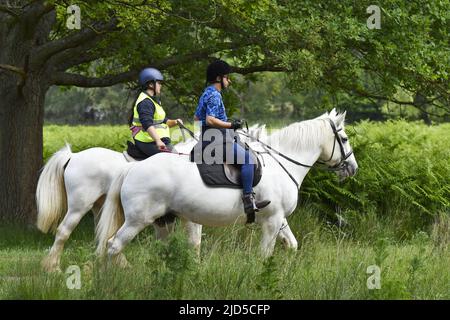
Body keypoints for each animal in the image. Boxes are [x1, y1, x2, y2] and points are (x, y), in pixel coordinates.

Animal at [35, 124, 272, 272]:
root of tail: (73, 156)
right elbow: (195, 241)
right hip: (79, 205)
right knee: (65, 231)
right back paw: (53, 267)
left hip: (100, 206)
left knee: (104, 236)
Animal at [96, 109, 356, 262]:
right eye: (343, 139)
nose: (353, 167)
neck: (281, 162)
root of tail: (132, 168)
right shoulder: (272, 220)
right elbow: (265, 255)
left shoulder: (279, 218)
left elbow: (292, 244)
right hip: (138, 220)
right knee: (113, 245)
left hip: (164, 221)